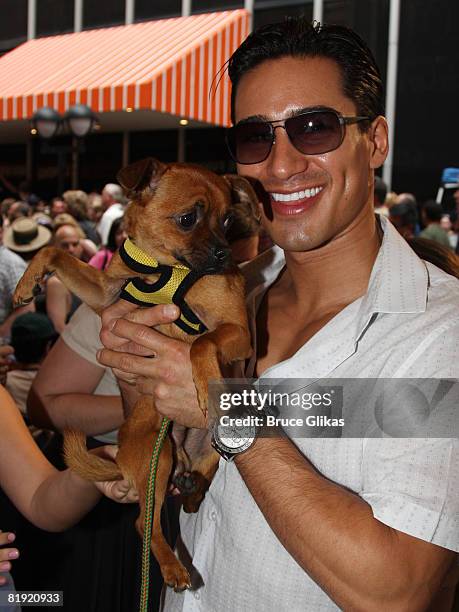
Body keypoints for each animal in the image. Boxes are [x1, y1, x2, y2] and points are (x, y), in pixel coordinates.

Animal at [13, 159, 258, 592]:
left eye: (228, 219)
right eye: (188, 219)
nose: (225, 254)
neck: (167, 268)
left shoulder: (237, 333)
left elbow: (200, 342)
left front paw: (205, 386)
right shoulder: (105, 292)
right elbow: (53, 249)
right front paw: (29, 281)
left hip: (205, 449)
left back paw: (191, 493)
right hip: (156, 459)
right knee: (144, 523)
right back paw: (174, 563)